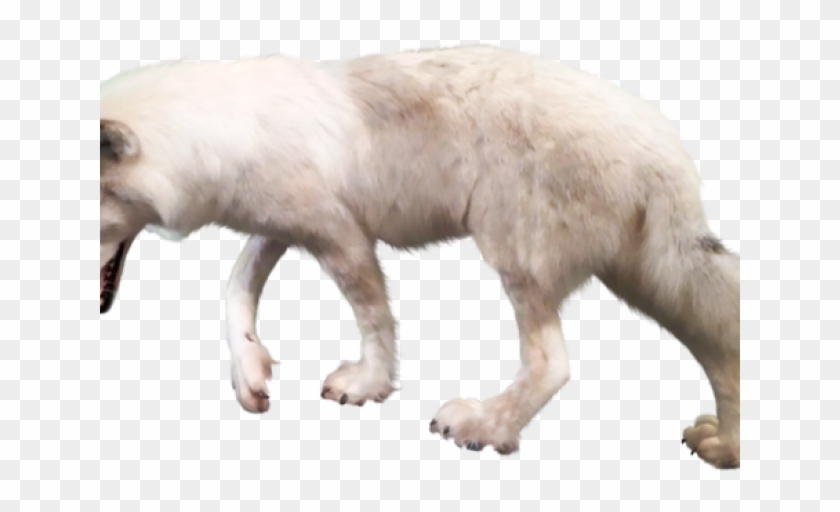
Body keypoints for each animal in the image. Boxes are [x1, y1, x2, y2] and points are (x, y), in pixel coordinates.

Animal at [100, 46, 740, 469]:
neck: (217, 134)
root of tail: (670, 155)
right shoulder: (286, 224)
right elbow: (235, 288)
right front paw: (251, 375)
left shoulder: (342, 236)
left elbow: (373, 318)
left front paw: (366, 386)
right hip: (644, 278)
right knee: (720, 346)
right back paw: (726, 448)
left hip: (516, 257)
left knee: (553, 363)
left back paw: (483, 426)